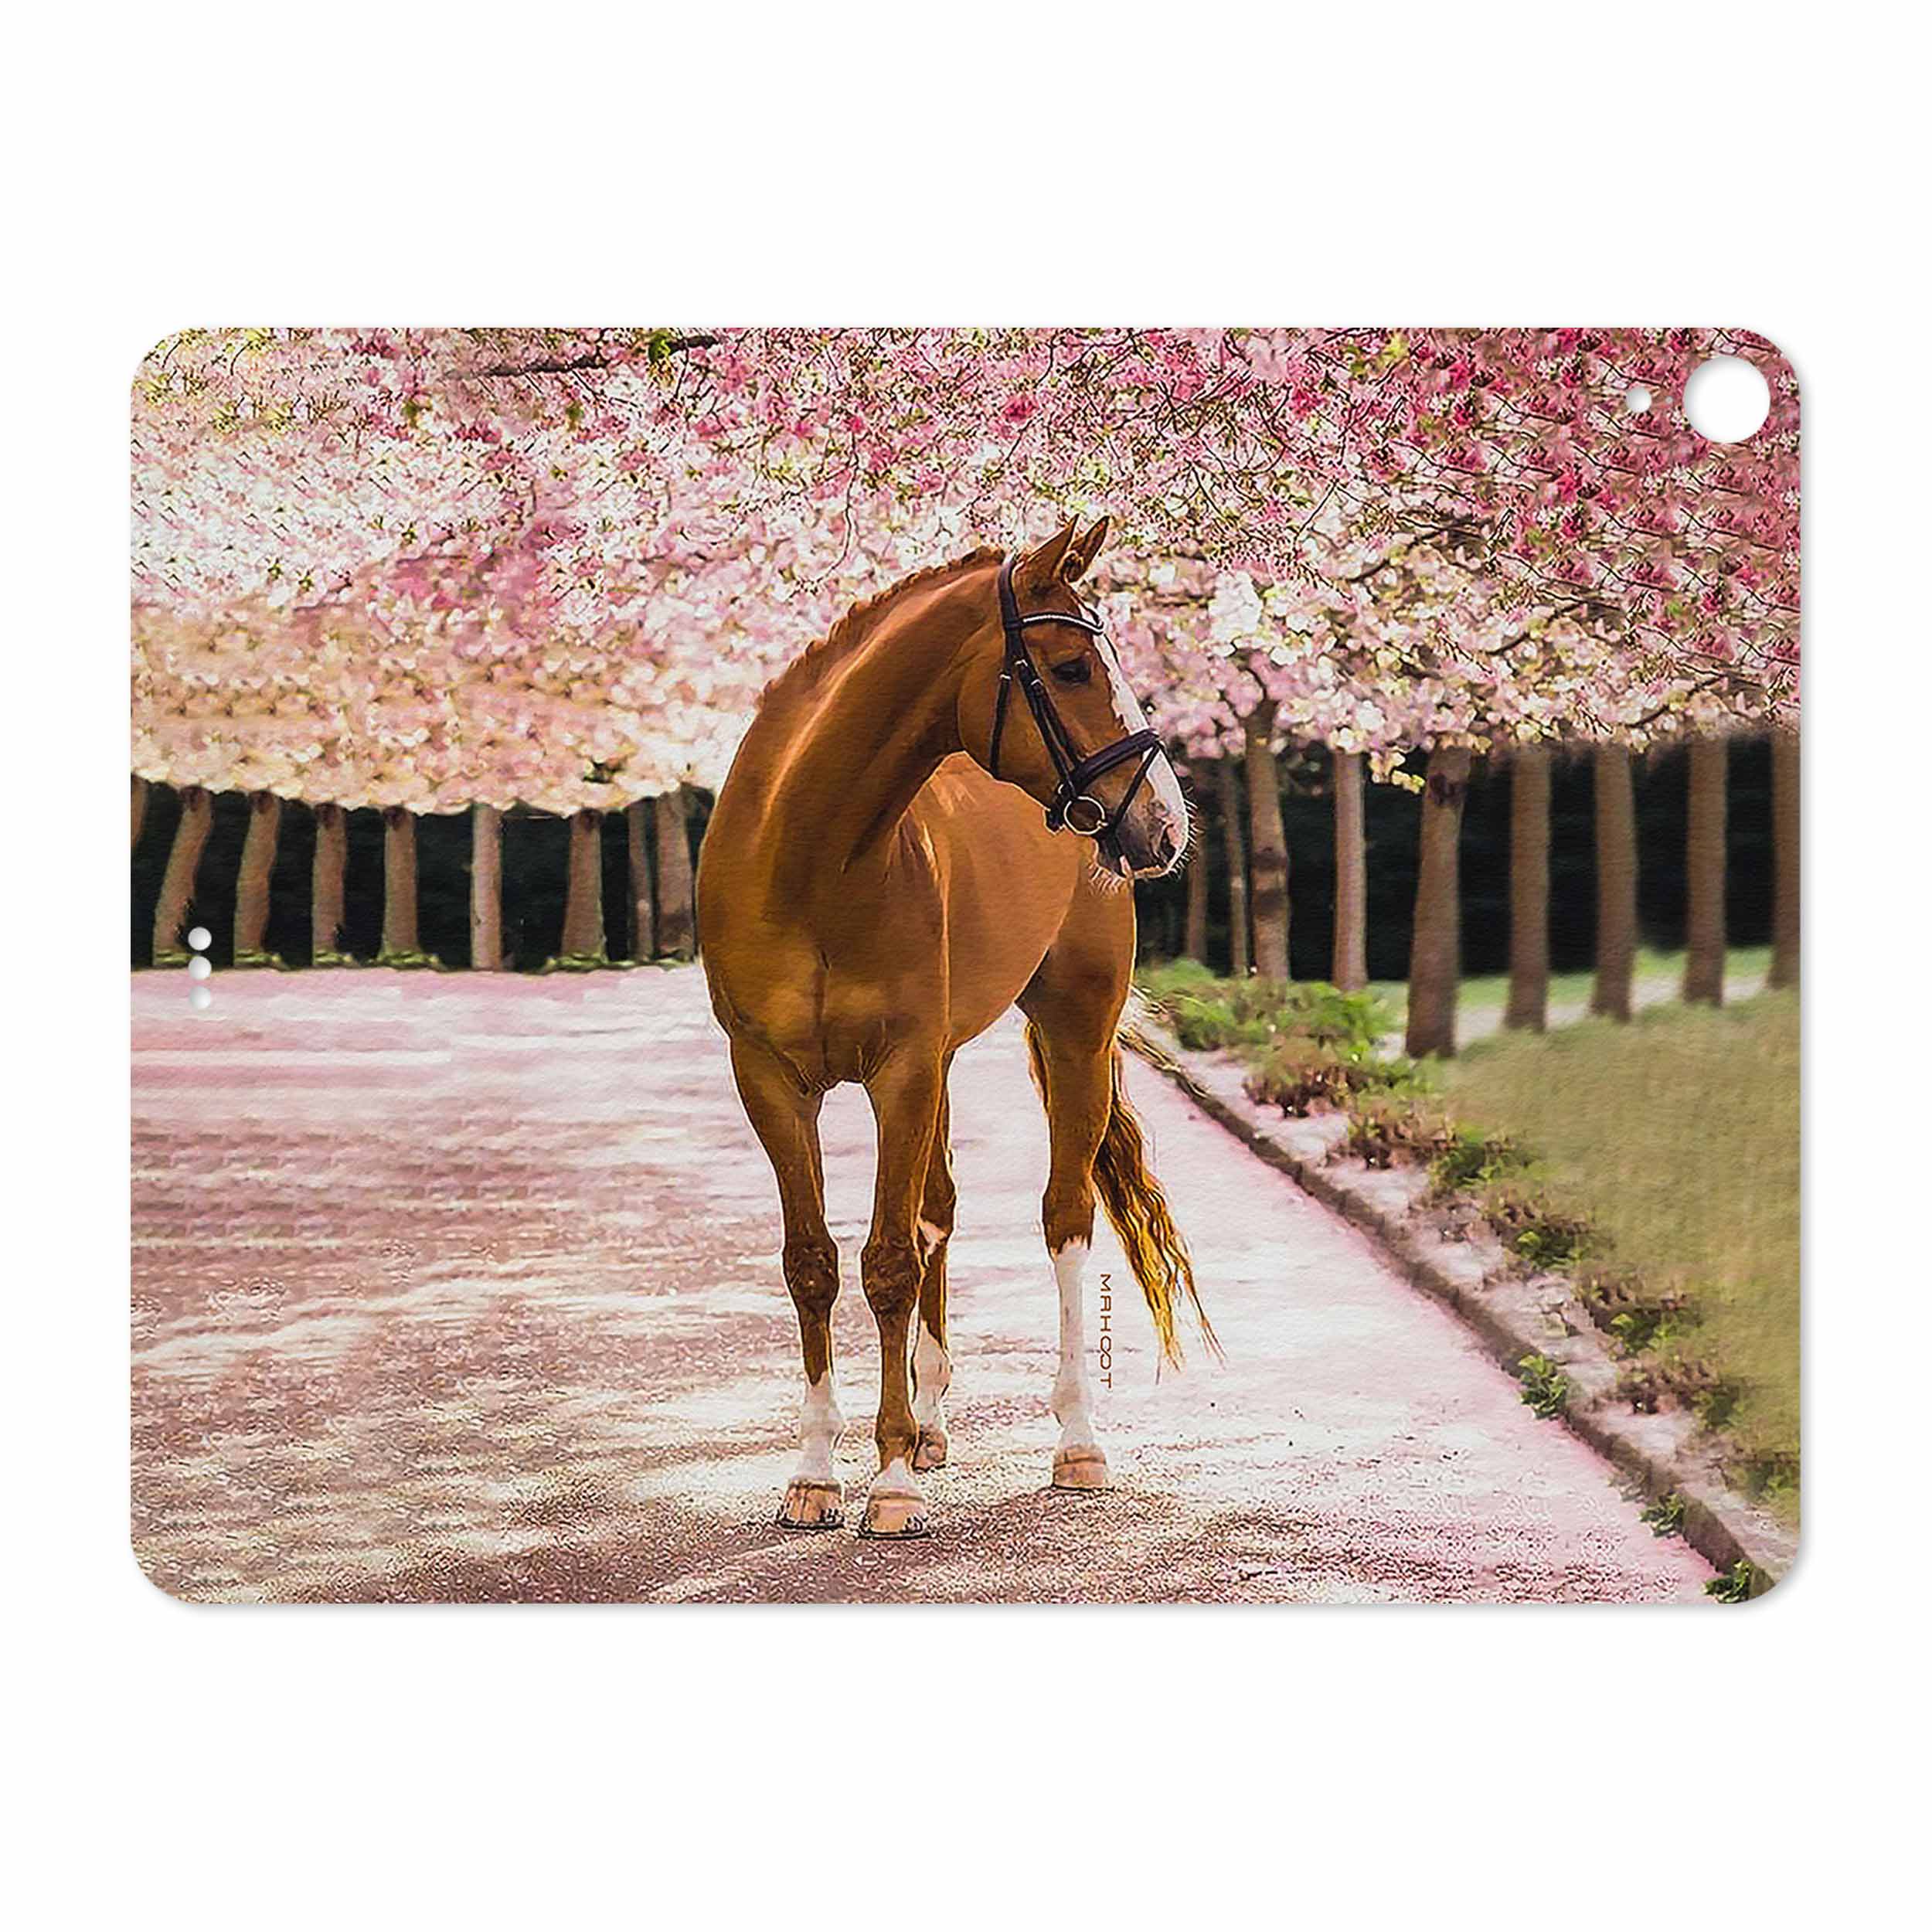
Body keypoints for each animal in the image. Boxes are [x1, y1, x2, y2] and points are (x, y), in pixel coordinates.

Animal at [697, 517, 1214, 1537]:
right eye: (1069, 667)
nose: (1165, 825)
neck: (809, 858)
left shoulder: (899, 1070)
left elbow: (889, 1261)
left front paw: (889, 1480)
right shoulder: (770, 1079)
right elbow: (813, 1262)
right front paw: (817, 1472)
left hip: (1072, 1032)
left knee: (1062, 1218)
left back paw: (1074, 1441)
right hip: (938, 1064)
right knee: (937, 1209)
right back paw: (932, 1424)